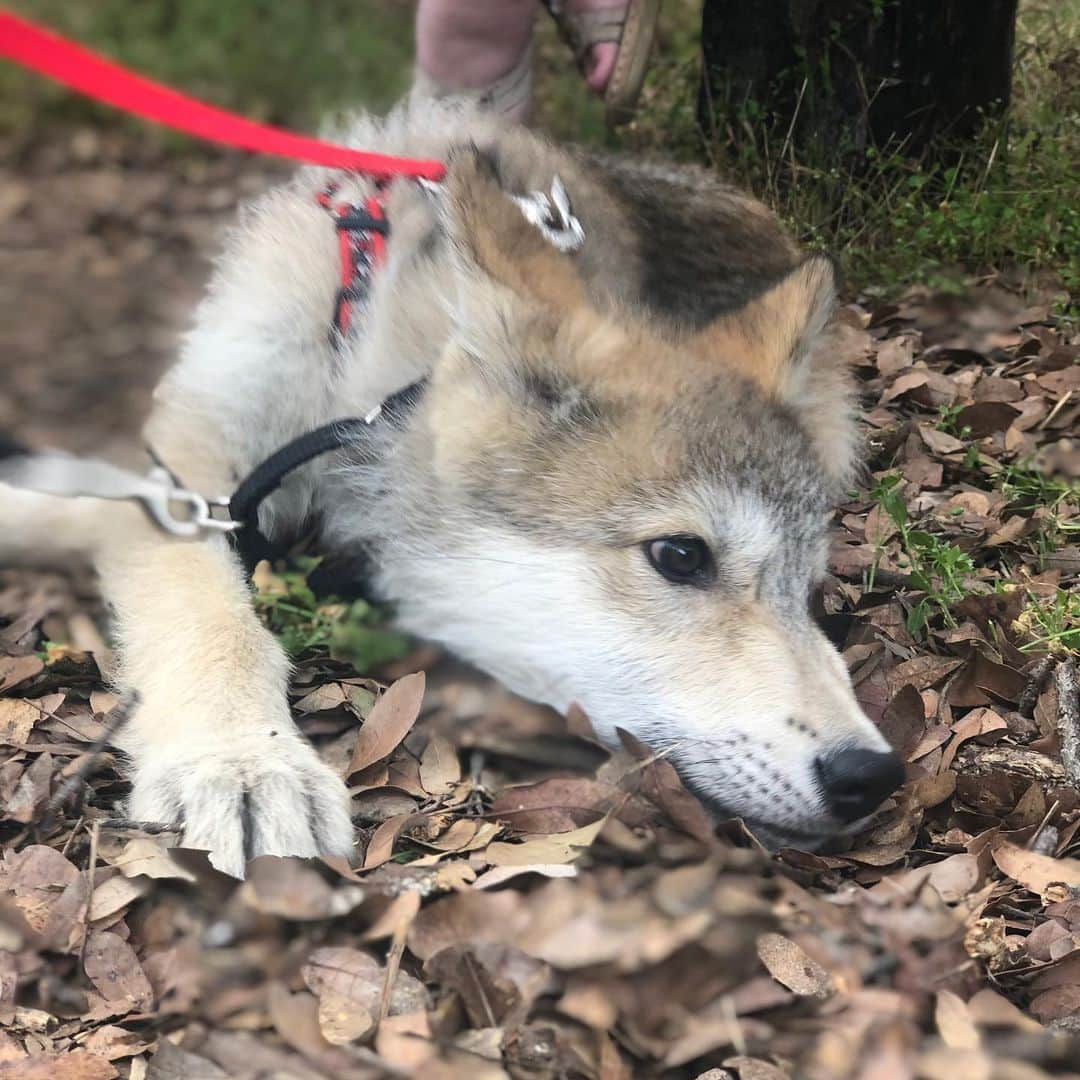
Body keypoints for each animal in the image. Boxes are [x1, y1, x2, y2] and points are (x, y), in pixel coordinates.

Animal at [0, 103, 902, 876]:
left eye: (808, 592)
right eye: (680, 556)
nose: (874, 775)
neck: (356, 389)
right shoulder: (195, 445)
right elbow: (199, 598)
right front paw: (240, 759)